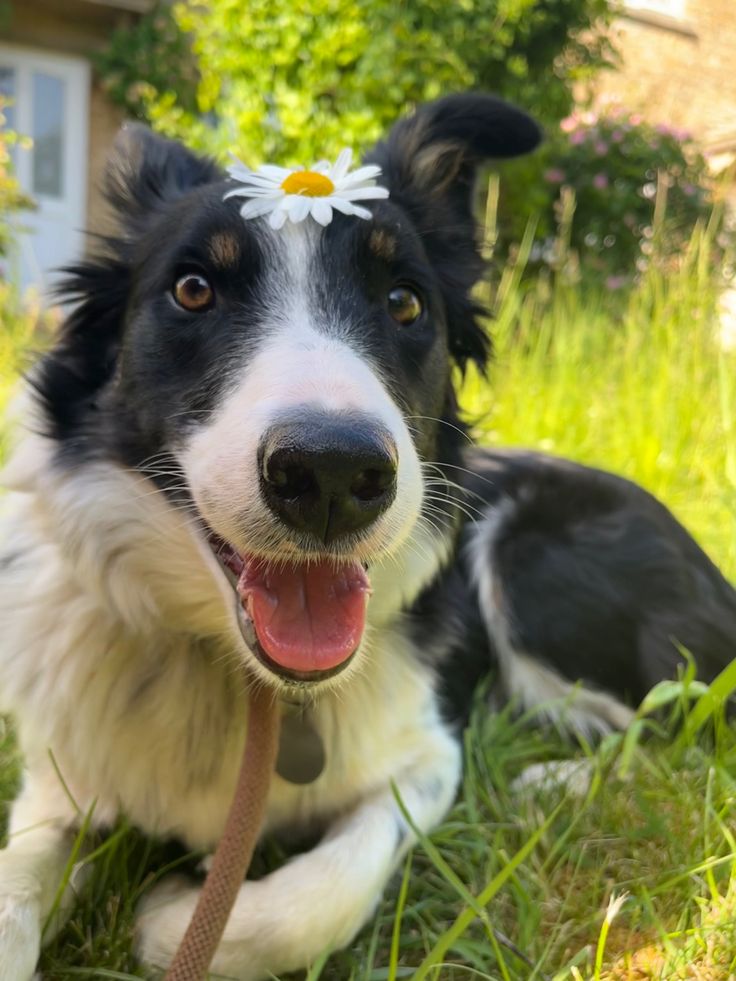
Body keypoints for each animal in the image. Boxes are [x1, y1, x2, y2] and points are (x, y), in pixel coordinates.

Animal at [1, 94, 736, 980]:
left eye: (405, 302)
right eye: (193, 289)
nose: (331, 472)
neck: (249, 683)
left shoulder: (426, 759)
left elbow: (322, 893)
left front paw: (171, 918)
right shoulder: (60, 779)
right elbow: (17, 884)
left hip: (528, 560)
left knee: (677, 727)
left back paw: (552, 780)